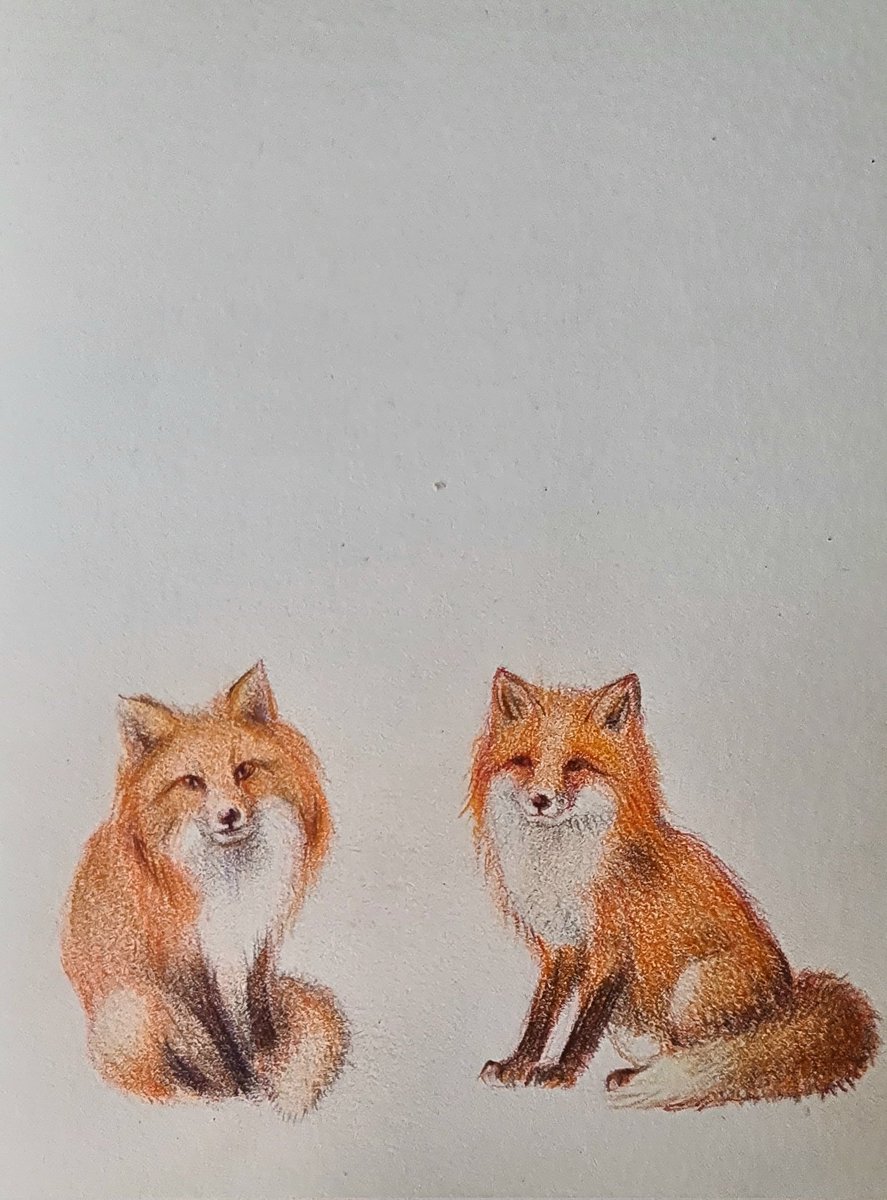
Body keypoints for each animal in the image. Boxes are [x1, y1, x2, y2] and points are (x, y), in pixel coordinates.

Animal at [61, 662, 348, 1118]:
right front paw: (239, 1091)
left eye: (244, 770)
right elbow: (218, 1044)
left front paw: (267, 1070)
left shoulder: (257, 950)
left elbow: (258, 1025)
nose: (229, 815)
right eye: (192, 782)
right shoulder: (182, 970)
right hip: (132, 1013)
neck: (229, 889)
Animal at [466, 667, 879, 1110]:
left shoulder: (613, 947)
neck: (561, 864)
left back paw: (641, 1078)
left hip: (688, 990)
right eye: (524, 762)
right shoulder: (562, 946)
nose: (540, 800)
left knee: (708, 1052)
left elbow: (584, 1025)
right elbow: (542, 1015)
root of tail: (789, 999)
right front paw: (518, 1065)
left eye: (576, 765)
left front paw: (561, 1072)